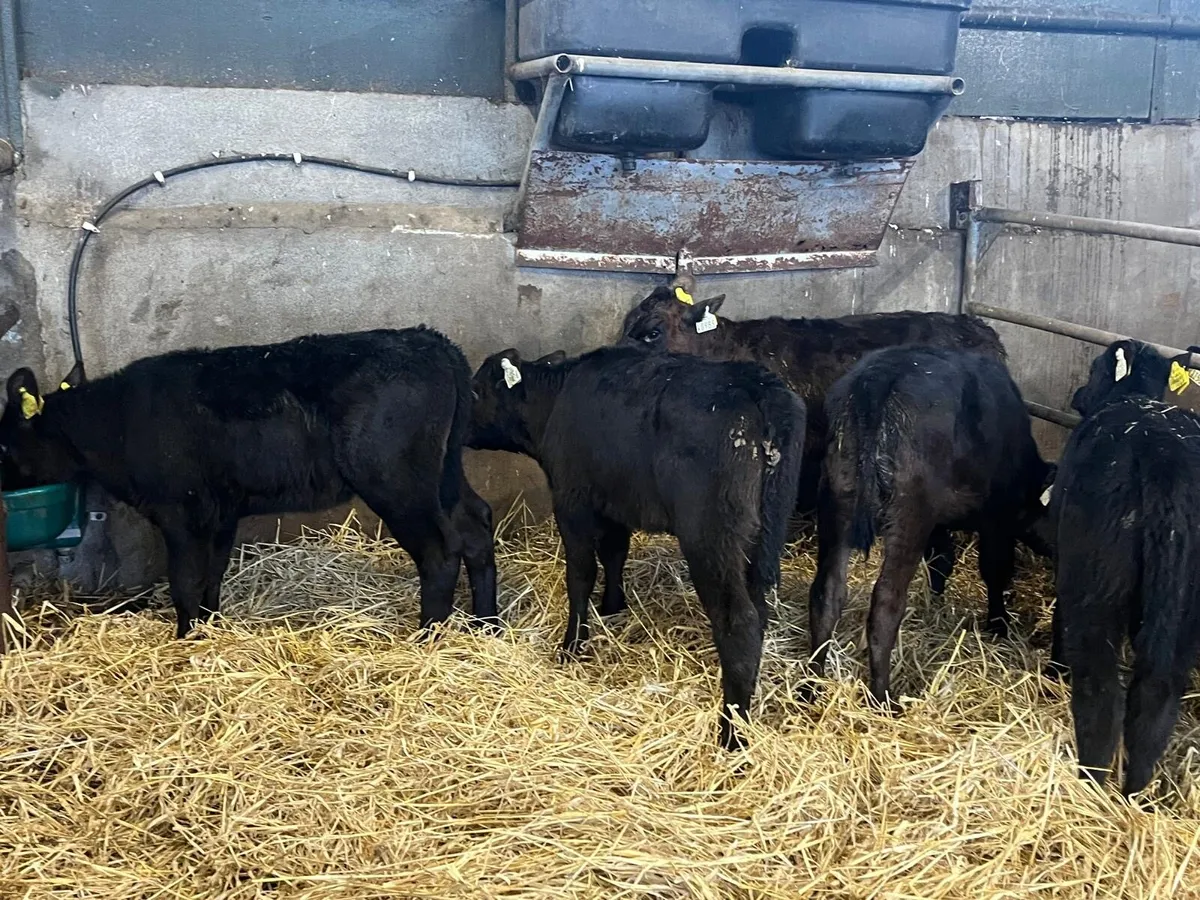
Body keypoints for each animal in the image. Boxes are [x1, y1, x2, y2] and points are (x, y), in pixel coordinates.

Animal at [0, 328, 498, 639]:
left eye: (3, 445)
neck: (116, 421)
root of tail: (432, 341)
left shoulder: (178, 509)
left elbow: (184, 578)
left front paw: (185, 639)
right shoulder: (219, 511)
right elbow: (211, 575)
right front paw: (207, 626)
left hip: (397, 481)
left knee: (440, 549)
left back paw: (427, 638)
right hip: (443, 474)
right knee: (475, 524)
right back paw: (487, 625)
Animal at [467, 344, 806, 749]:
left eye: (476, 390)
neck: (555, 400)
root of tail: (759, 386)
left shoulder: (572, 502)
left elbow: (580, 574)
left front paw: (571, 646)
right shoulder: (616, 504)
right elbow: (615, 554)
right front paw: (613, 606)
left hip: (712, 540)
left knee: (739, 622)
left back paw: (730, 732)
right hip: (761, 540)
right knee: (759, 612)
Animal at [806, 346, 1053, 708]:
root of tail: (880, 377)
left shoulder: (939, 522)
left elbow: (941, 560)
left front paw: (935, 602)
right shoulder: (996, 516)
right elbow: (995, 568)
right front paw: (999, 625)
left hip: (837, 499)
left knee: (827, 593)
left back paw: (809, 687)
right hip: (909, 513)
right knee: (886, 603)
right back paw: (883, 697)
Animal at [1047, 339, 1200, 796]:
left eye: (1096, 368)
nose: (1078, 395)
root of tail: (1164, 457)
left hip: (1096, 588)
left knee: (1098, 688)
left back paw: (1093, 783)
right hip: (1186, 605)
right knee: (1156, 695)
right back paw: (1135, 792)